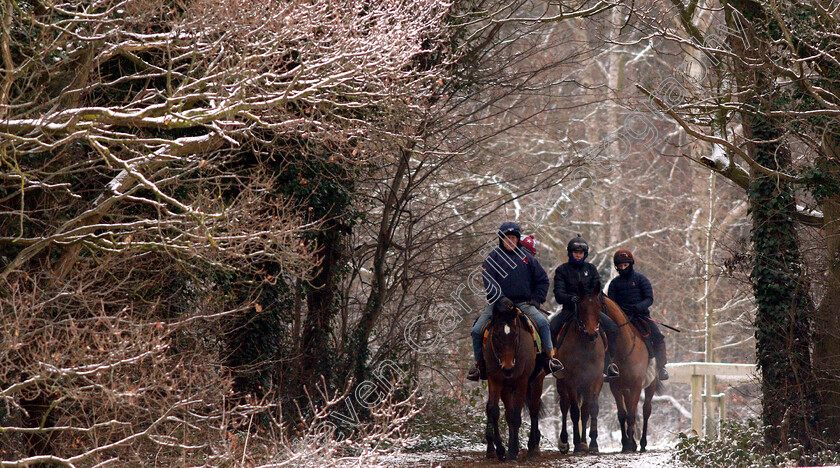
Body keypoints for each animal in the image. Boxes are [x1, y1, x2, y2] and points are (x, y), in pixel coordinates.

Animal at [482, 296, 548, 460]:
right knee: (508, 413)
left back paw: (533, 447)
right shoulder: (495, 380)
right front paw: (500, 449)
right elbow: (494, 411)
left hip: (537, 381)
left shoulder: (522, 382)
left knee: (533, 410)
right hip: (507, 388)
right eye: (496, 335)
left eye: (516, 335)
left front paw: (512, 451)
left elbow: (517, 415)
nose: (508, 368)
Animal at [552, 280, 604, 456]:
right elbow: (574, 411)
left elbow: (590, 410)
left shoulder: (594, 379)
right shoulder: (571, 381)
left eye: (599, 307)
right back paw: (565, 443)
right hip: (561, 382)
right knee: (565, 406)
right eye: (580, 307)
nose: (592, 334)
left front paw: (592, 443)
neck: (585, 347)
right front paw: (576, 445)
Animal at [604, 294, 664, 452]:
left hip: (650, 385)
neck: (624, 349)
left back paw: (642, 443)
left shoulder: (636, 386)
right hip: (626, 389)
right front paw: (626, 443)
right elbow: (622, 415)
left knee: (646, 410)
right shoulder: (616, 387)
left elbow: (631, 415)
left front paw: (630, 444)